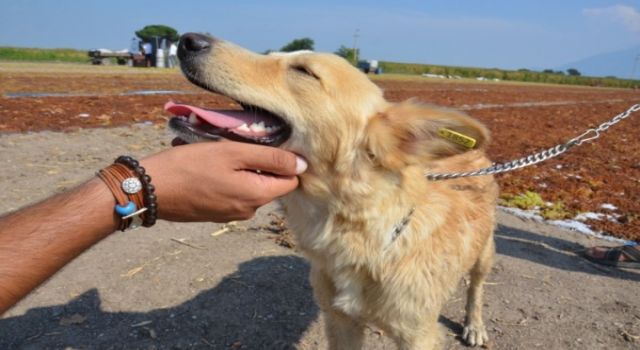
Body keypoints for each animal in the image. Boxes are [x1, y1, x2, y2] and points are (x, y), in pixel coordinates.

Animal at [168, 33, 498, 350]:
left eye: (304, 71)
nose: (187, 40)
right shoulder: (341, 321)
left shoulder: (417, 335)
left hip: (484, 255)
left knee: (477, 288)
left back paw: (475, 326)